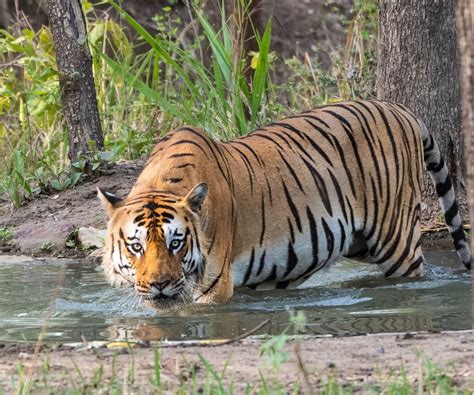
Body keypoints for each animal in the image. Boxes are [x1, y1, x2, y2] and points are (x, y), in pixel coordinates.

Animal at [98, 100, 472, 310]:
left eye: (176, 243)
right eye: (135, 246)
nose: (159, 284)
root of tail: (400, 109)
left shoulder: (214, 287)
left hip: (394, 239)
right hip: (359, 242)